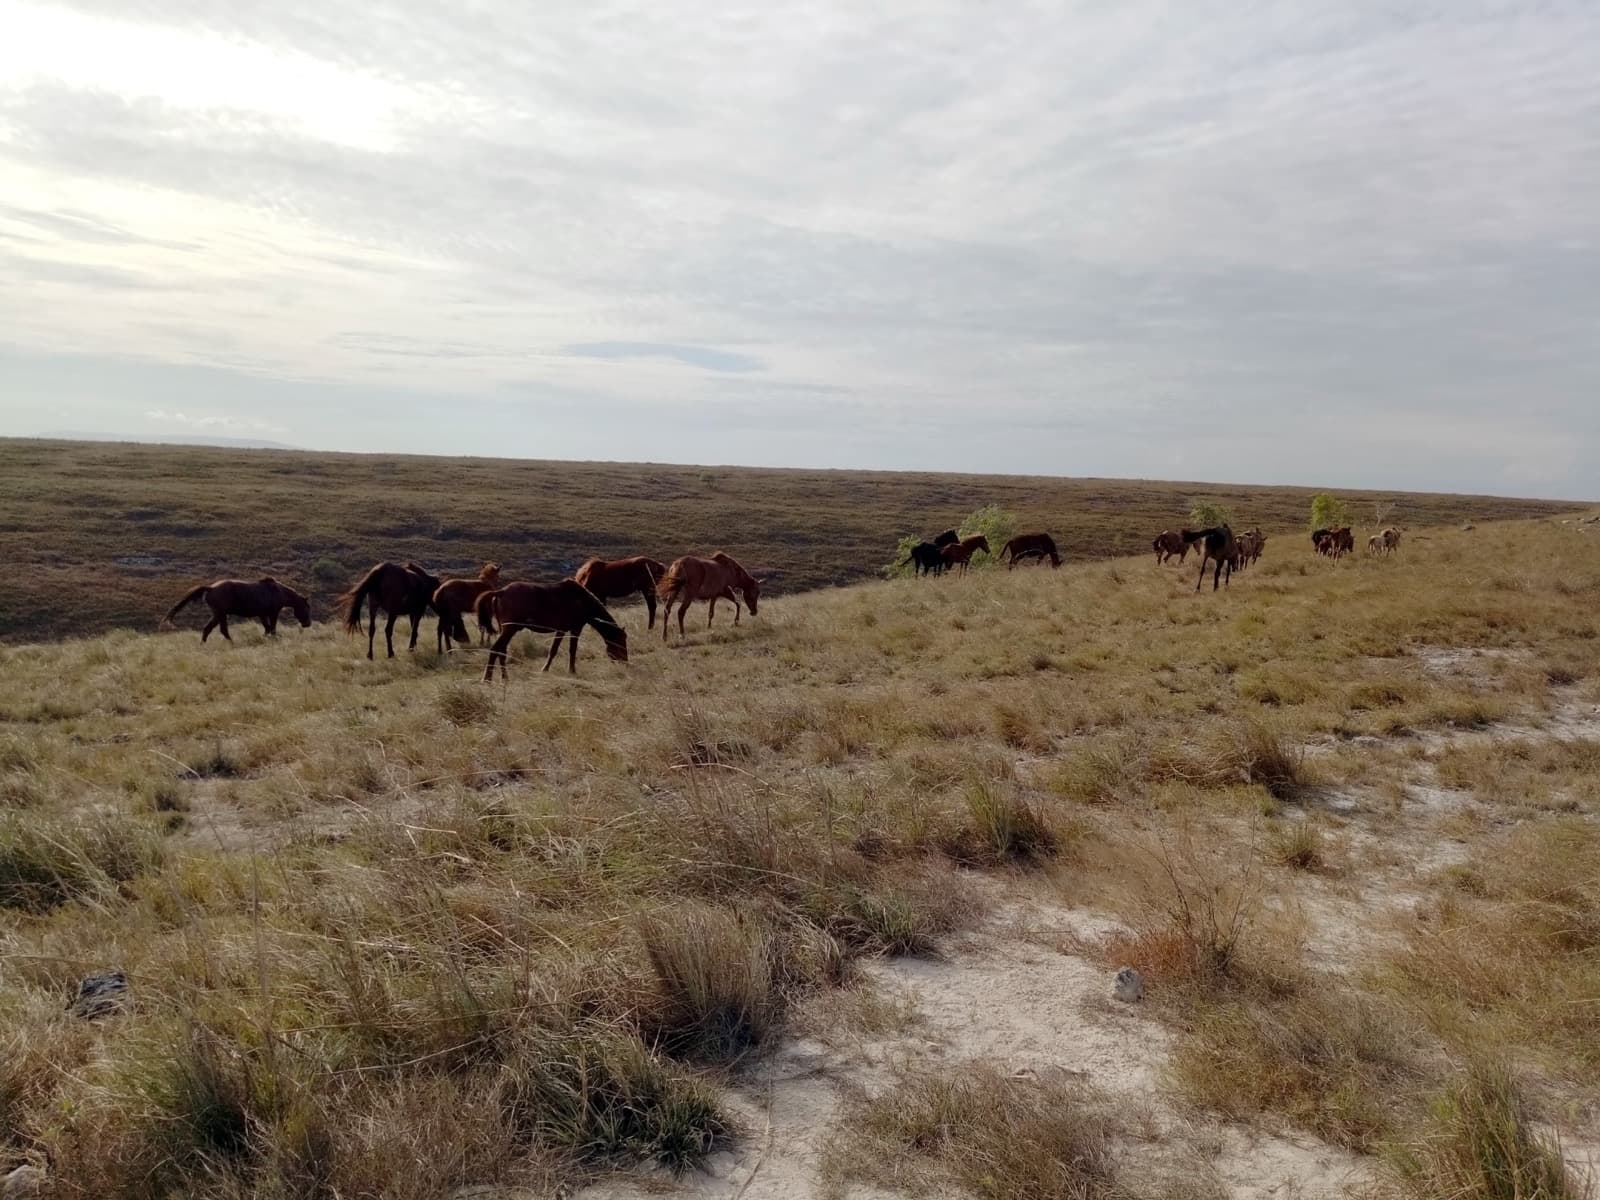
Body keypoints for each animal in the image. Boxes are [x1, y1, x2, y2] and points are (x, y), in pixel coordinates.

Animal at [162, 578, 310, 643]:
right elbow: (272, 628)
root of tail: (211, 588)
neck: (278, 591)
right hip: (221, 614)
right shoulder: (272, 613)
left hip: (218, 614)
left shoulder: (262, 614)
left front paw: (263, 638)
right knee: (222, 630)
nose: (308, 624)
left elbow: (267, 628)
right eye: (307, 608)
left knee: (207, 629)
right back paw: (232, 643)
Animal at [477, 581, 628, 679]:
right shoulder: (574, 629)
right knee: (495, 649)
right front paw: (571, 671)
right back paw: (487, 679)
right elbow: (570, 650)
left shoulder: (562, 630)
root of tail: (501, 591)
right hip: (510, 629)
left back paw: (505, 677)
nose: (625, 662)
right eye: (621, 641)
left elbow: (554, 650)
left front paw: (546, 669)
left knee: (501, 651)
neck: (582, 601)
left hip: (507, 630)